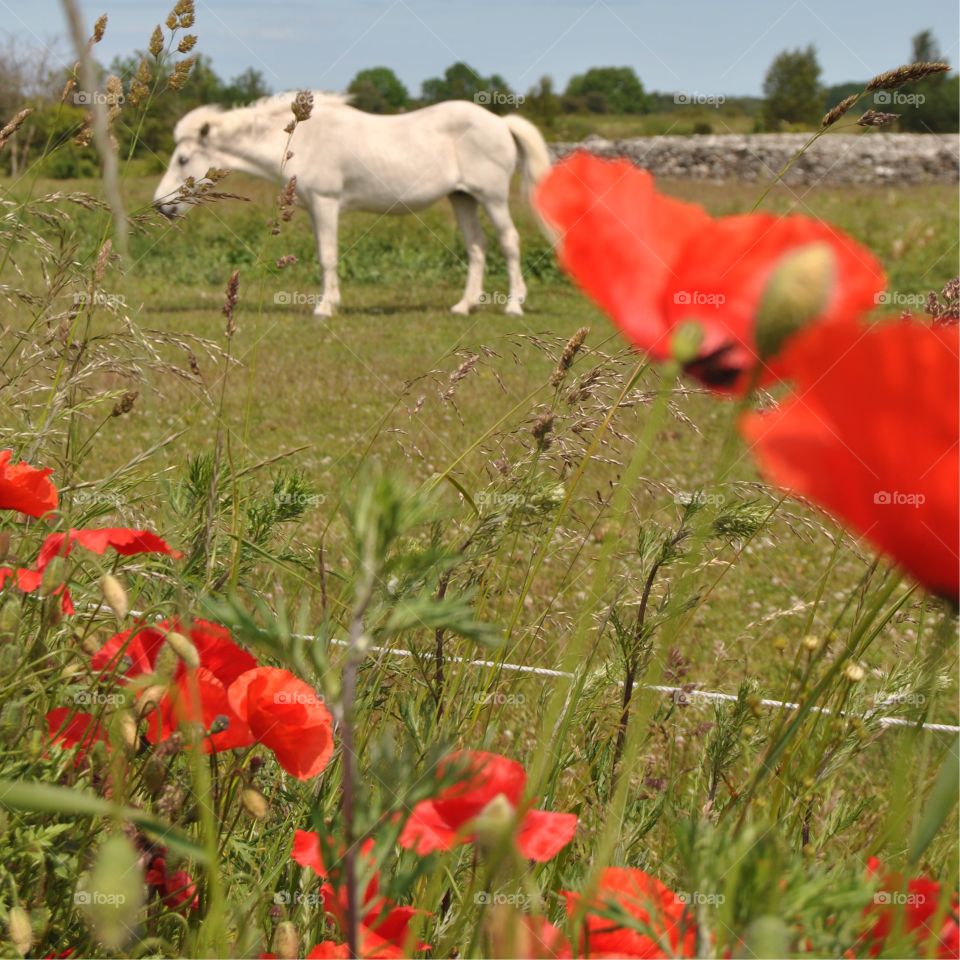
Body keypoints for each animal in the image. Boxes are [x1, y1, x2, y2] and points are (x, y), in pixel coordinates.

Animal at [153, 93, 552, 317]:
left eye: (184, 159)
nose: (161, 205)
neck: (304, 137)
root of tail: (500, 121)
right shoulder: (315, 209)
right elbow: (323, 254)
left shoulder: (326, 203)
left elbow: (328, 256)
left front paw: (325, 308)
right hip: (463, 198)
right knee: (477, 247)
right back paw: (464, 306)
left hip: (492, 198)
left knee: (509, 243)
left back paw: (513, 305)